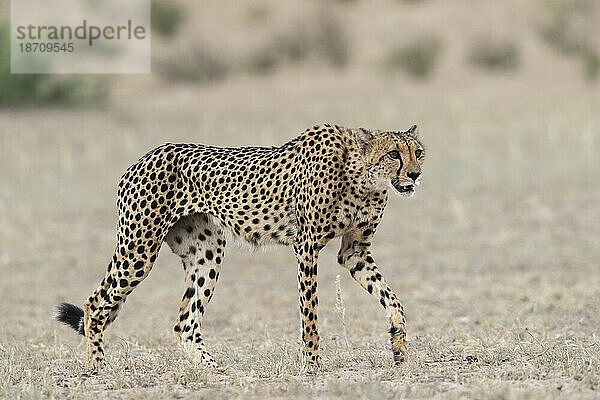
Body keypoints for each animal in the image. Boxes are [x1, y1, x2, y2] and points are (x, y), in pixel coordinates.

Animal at [54, 123, 424, 370]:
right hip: (138, 249)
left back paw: (214, 370)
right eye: (394, 154)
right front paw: (312, 365)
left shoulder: (354, 253)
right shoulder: (306, 246)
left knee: (185, 322)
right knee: (95, 303)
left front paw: (400, 348)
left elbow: (394, 300)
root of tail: (141, 159)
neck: (361, 177)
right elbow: (310, 314)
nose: (416, 175)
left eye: (417, 152)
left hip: (206, 251)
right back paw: (98, 367)